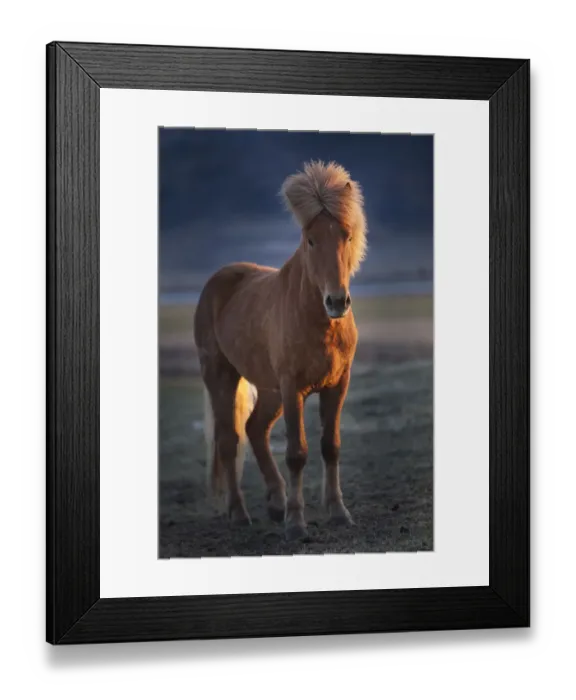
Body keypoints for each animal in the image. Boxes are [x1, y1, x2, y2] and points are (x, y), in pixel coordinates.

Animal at [193, 160, 367, 540]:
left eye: (346, 235)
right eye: (311, 239)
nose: (337, 302)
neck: (320, 323)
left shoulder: (338, 385)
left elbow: (330, 446)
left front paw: (338, 513)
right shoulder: (292, 389)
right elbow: (296, 452)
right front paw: (297, 522)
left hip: (268, 390)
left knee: (255, 430)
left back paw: (275, 502)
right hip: (222, 377)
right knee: (229, 441)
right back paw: (240, 513)